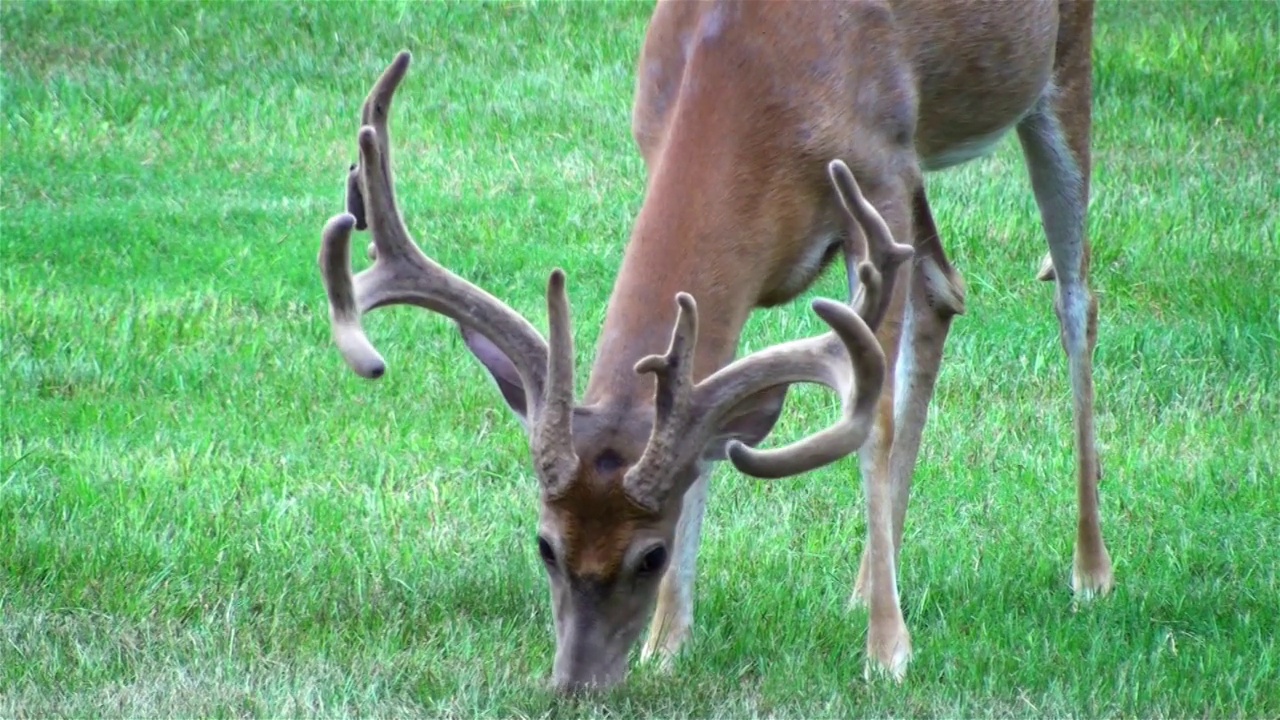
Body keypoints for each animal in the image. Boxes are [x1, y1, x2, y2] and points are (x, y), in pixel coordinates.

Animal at [317, 0, 1111, 691]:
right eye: (545, 545)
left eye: (650, 556)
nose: (576, 684)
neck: (747, 79)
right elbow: (705, 432)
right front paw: (667, 647)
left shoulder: (880, 177)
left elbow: (870, 425)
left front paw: (889, 654)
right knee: (942, 289)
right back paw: (864, 583)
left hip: (1058, 66)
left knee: (1075, 293)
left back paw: (1089, 571)